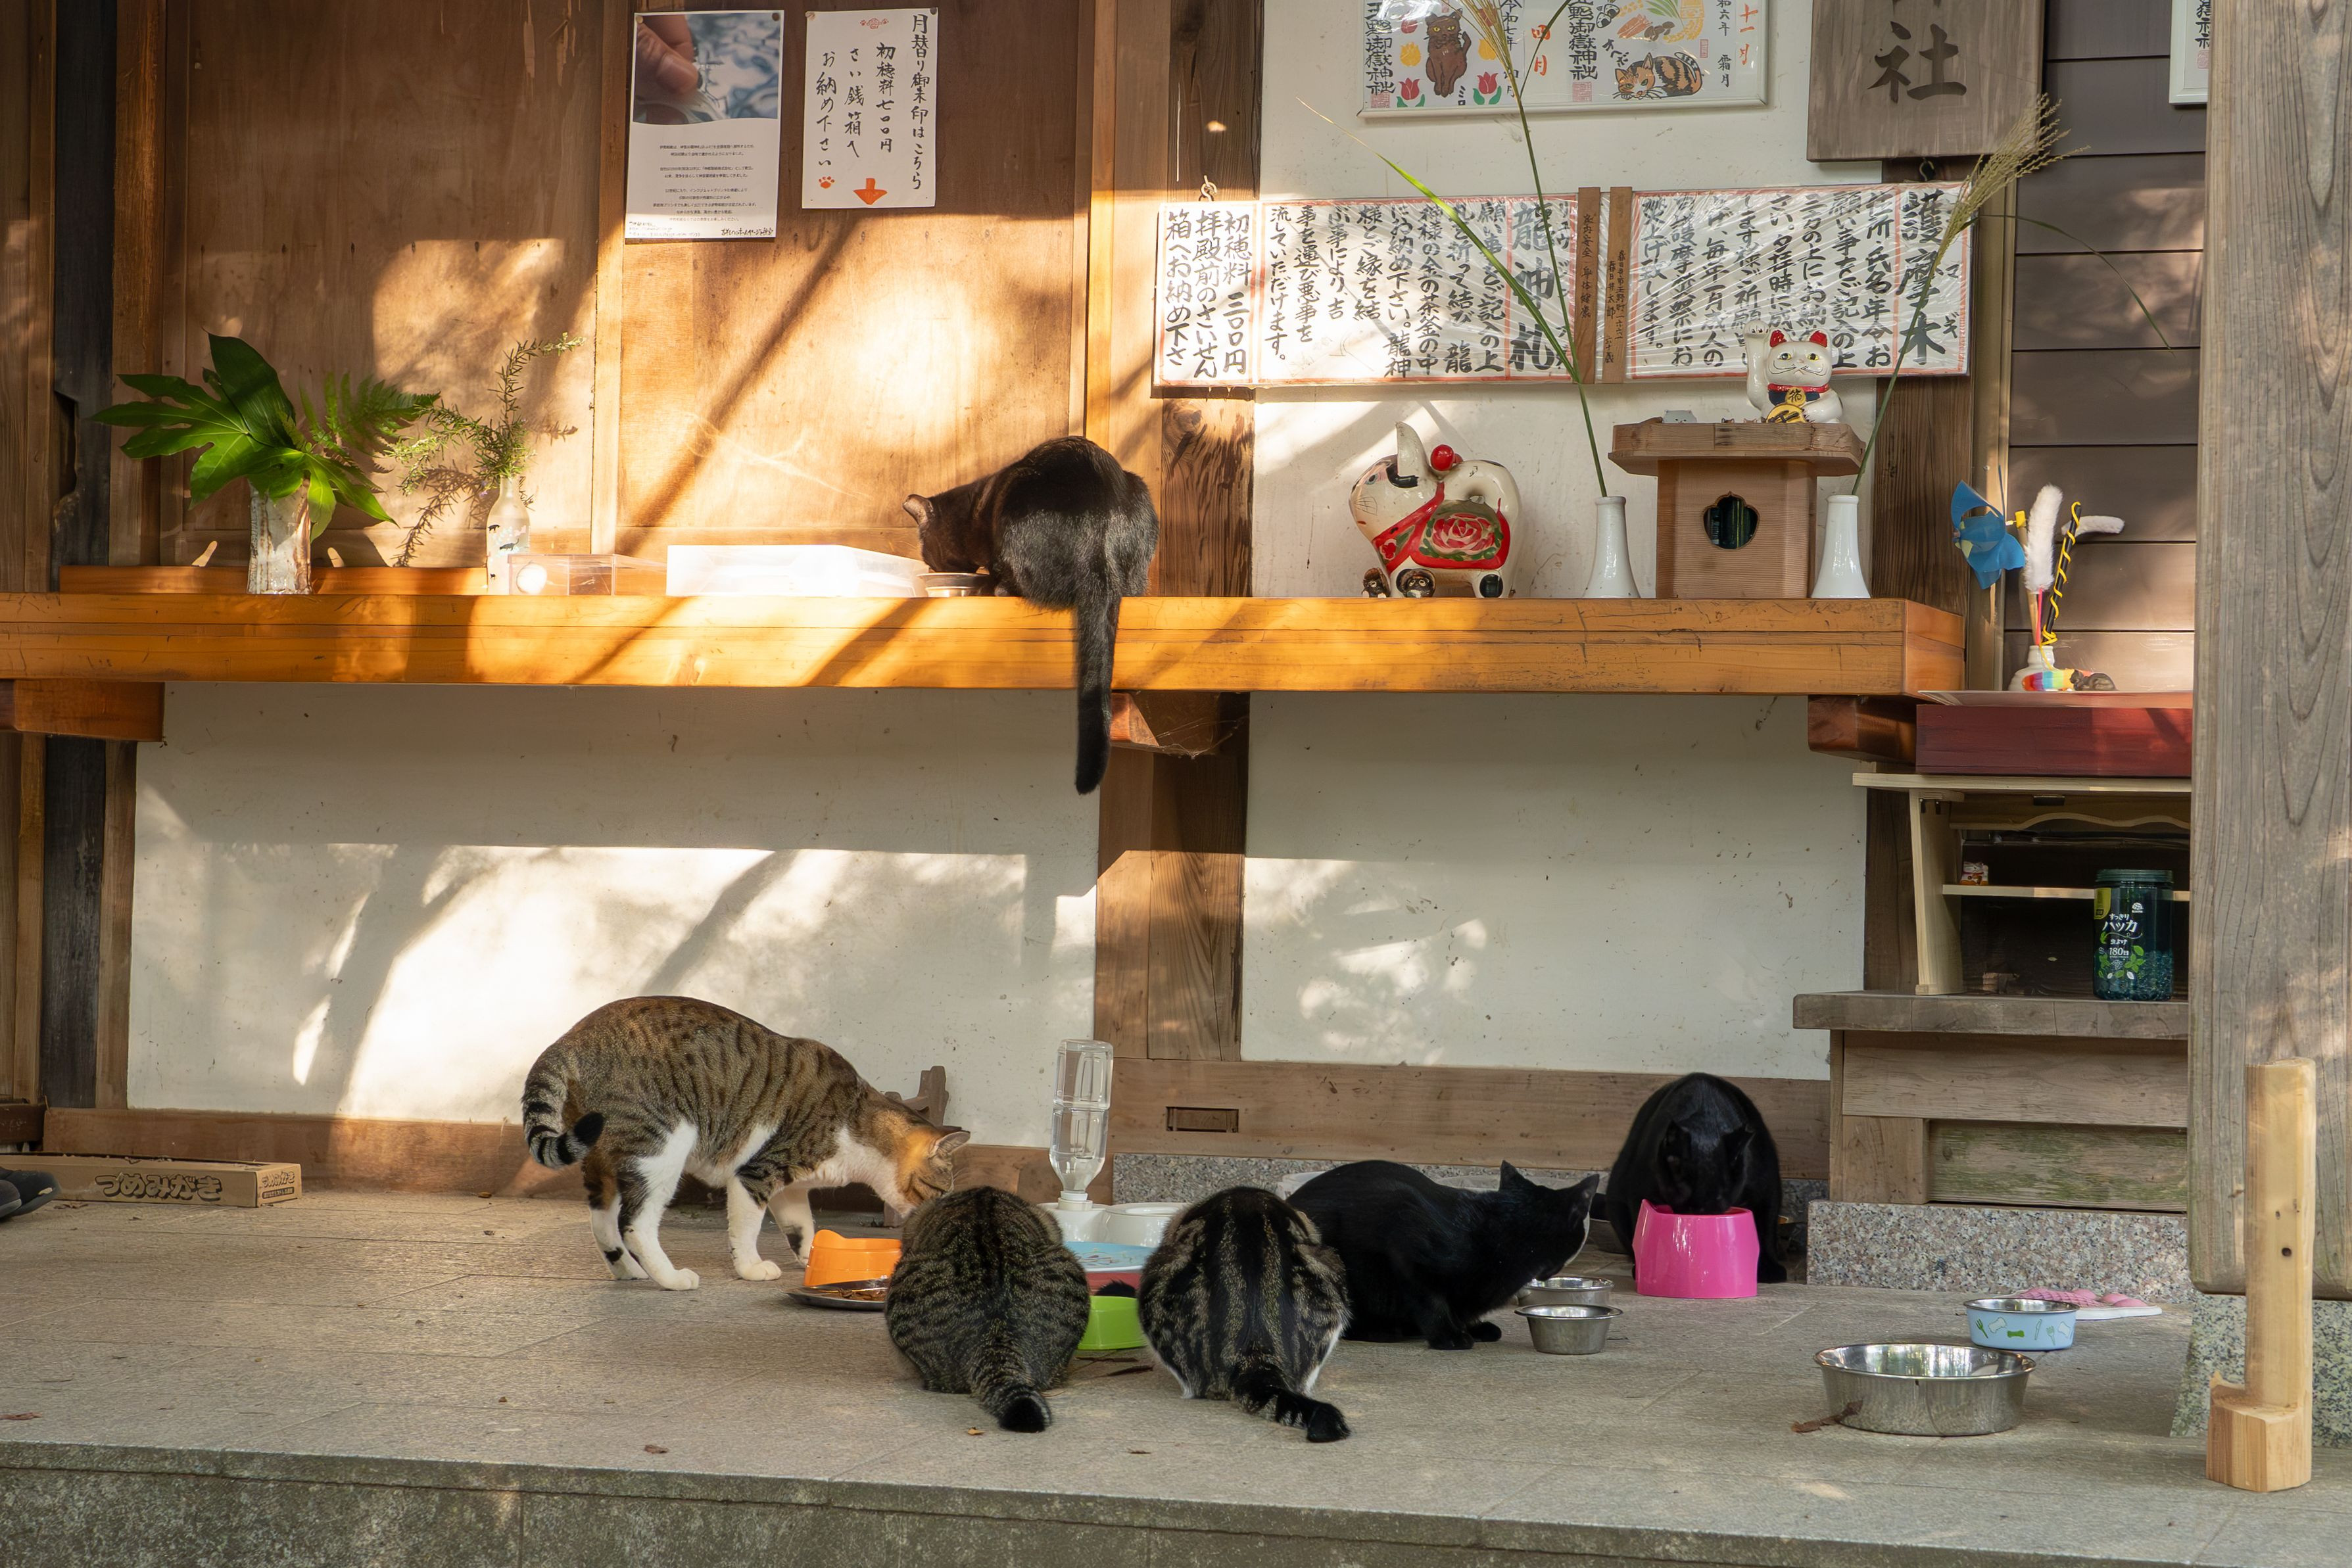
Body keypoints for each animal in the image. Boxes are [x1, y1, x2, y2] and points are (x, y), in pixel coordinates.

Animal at [520, 996, 969, 1290]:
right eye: (939, 1190)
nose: (943, 1215)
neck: (855, 1122)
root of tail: (569, 1038)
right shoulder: (756, 1171)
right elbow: (747, 1229)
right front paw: (752, 1268)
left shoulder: (792, 1187)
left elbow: (803, 1228)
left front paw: (818, 1260)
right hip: (663, 1148)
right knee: (635, 1224)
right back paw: (671, 1278)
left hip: (600, 1154)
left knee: (602, 1220)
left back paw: (629, 1272)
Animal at [903, 436, 1158, 795]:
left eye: (927, 553)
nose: (929, 566)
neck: (974, 509)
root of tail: (1099, 534)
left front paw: (987, 583)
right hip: (1139, 509)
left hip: (1018, 507)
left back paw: (995, 588)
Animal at [1602, 1072, 1786, 1284]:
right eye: (1683, 1193)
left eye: (1720, 1197)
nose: (1700, 1213)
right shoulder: (1637, 1191)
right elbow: (1638, 1230)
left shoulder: (1766, 1188)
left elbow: (1766, 1227)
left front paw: (1770, 1268)